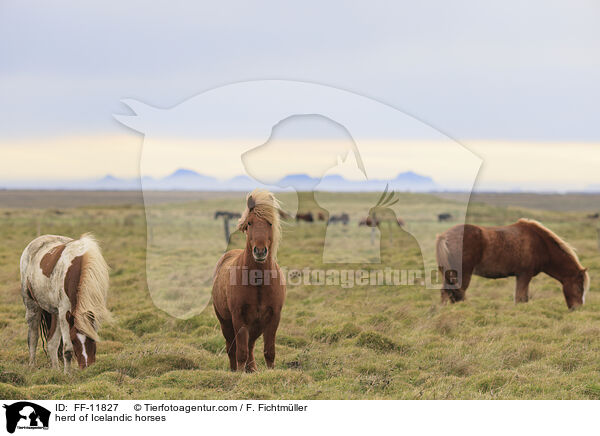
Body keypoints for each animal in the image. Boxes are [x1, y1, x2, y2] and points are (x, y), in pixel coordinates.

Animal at [20, 233, 111, 372]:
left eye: (92, 339)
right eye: (74, 341)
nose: (86, 367)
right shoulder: (64, 312)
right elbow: (67, 350)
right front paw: (67, 374)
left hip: (55, 313)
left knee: (52, 342)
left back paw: (55, 370)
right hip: (32, 307)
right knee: (33, 338)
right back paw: (32, 366)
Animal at [211, 189, 286, 372]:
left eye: (270, 223)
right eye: (250, 223)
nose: (260, 251)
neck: (258, 282)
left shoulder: (274, 317)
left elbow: (269, 351)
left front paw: (270, 372)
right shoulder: (238, 317)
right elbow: (241, 351)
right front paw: (239, 373)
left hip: (256, 325)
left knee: (250, 345)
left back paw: (252, 369)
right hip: (226, 322)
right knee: (232, 347)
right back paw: (235, 370)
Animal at [436, 218, 592, 310]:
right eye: (580, 287)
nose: (578, 309)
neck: (540, 243)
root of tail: (444, 236)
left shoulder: (521, 276)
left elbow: (523, 298)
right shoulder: (524, 275)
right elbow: (520, 298)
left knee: (446, 293)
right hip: (463, 274)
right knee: (456, 293)